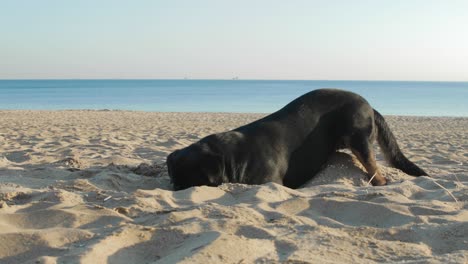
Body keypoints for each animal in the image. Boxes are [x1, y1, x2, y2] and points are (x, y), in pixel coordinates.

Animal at [166, 88, 426, 190]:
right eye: (173, 180)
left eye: (188, 182)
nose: (175, 189)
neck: (232, 157)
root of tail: (370, 106)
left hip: (358, 136)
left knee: (375, 171)